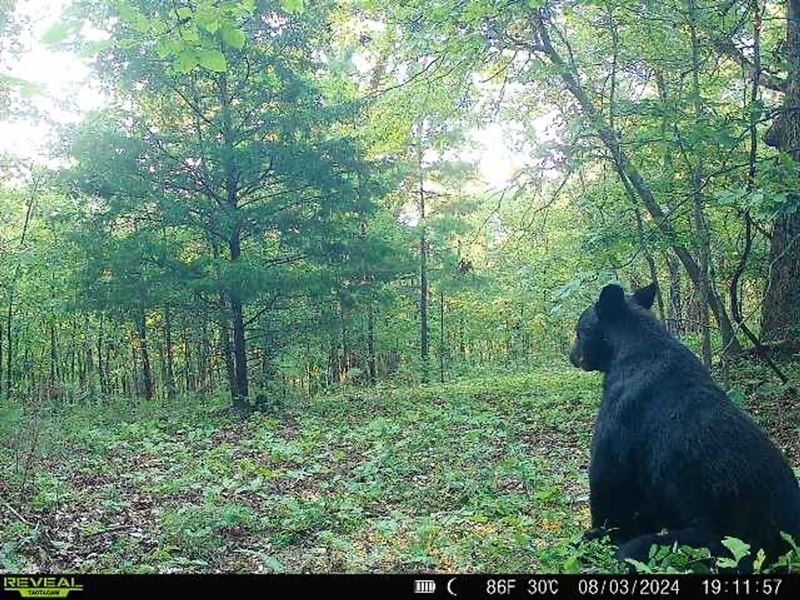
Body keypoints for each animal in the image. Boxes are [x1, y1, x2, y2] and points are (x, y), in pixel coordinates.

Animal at [568, 284, 800, 568]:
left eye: (579, 331)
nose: (571, 355)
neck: (628, 349)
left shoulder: (622, 414)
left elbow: (611, 481)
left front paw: (596, 535)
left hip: (715, 541)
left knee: (637, 550)